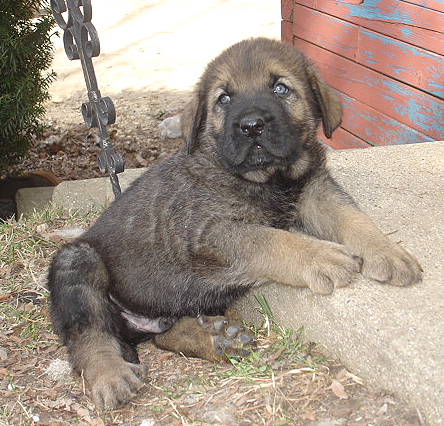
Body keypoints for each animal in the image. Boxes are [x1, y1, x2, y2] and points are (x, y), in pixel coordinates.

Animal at [46, 38, 422, 412]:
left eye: (280, 88)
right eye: (224, 98)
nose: (251, 125)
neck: (267, 179)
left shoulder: (315, 191)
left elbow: (352, 217)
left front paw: (389, 252)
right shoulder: (208, 232)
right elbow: (267, 238)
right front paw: (322, 257)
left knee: (162, 335)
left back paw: (216, 339)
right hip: (77, 261)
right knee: (89, 334)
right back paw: (111, 374)